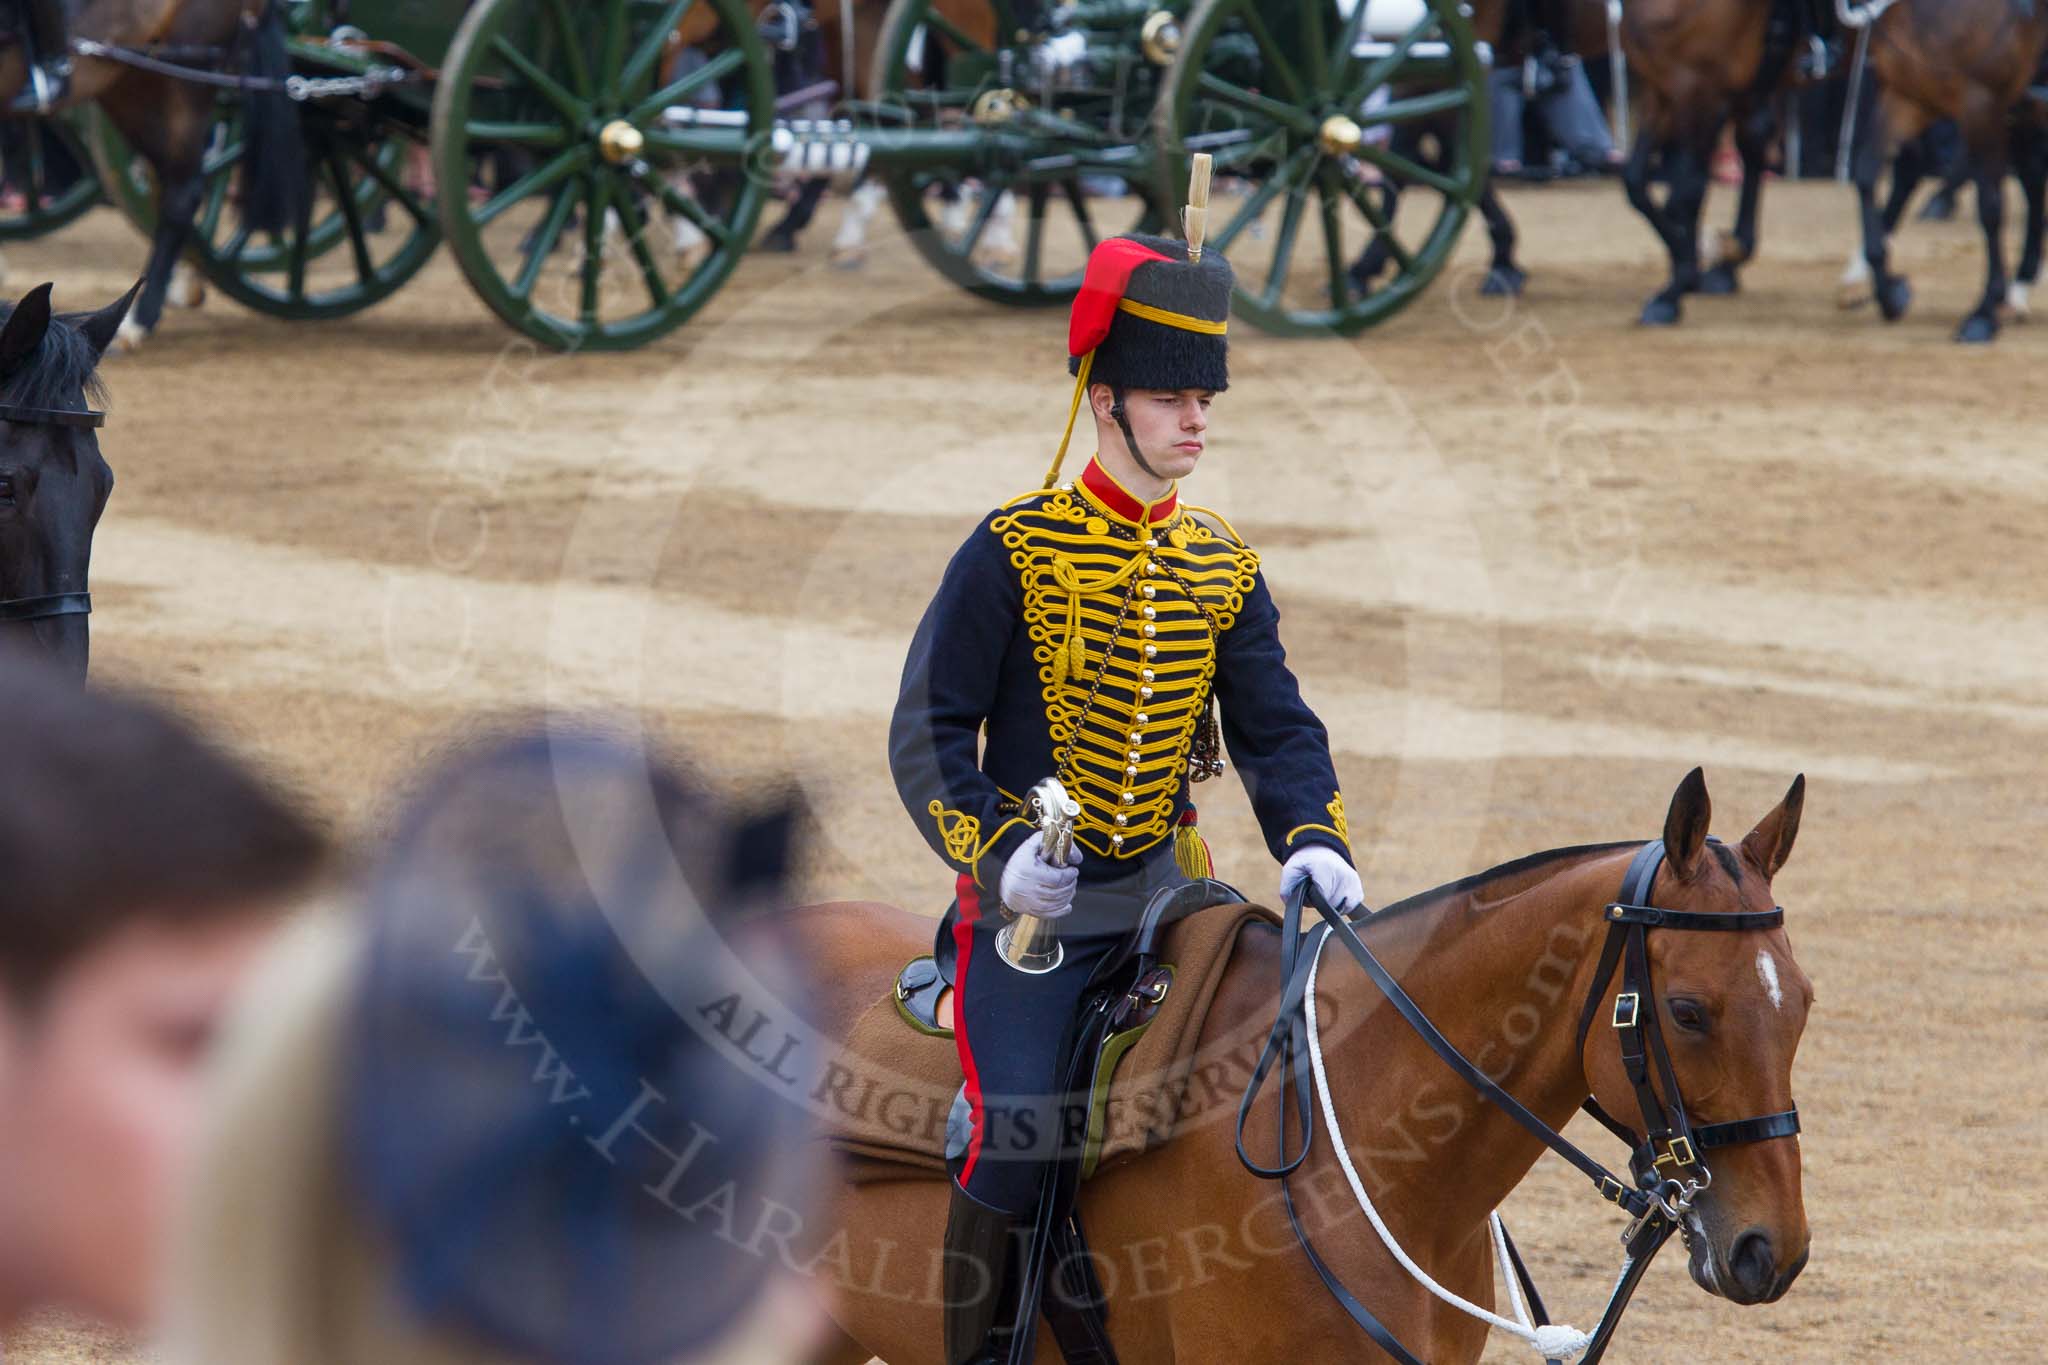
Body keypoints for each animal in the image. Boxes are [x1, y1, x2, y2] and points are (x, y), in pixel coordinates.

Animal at [1843, 0, 2048, 341]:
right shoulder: (1908, 98)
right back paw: (2019, 289)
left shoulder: (1984, 104)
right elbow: (1866, 175)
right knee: (2032, 178)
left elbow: (1990, 208)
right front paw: (1891, 293)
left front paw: (1983, 314)